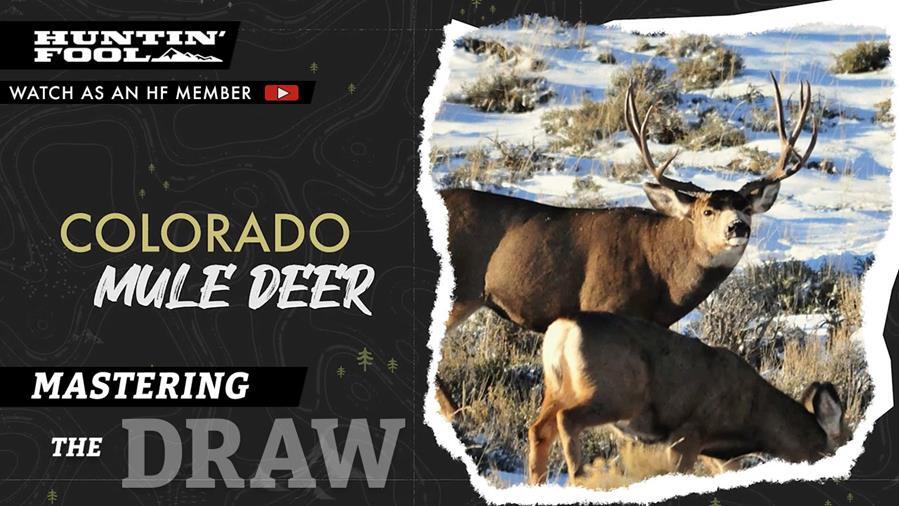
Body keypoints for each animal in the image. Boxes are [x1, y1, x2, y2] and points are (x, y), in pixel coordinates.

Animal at [435, 74, 817, 417]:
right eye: (707, 211)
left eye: (746, 208)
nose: (737, 227)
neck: (662, 276)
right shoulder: (601, 304)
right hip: (460, 290)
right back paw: (459, 414)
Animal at [528, 313, 849, 484]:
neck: (754, 418)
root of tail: (563, 329)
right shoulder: (689, 431)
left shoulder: (718, 454)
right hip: (613, 394)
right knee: (567, 419)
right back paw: (579, 475)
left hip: (557, 389)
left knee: (538, 429)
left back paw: (538, 483)